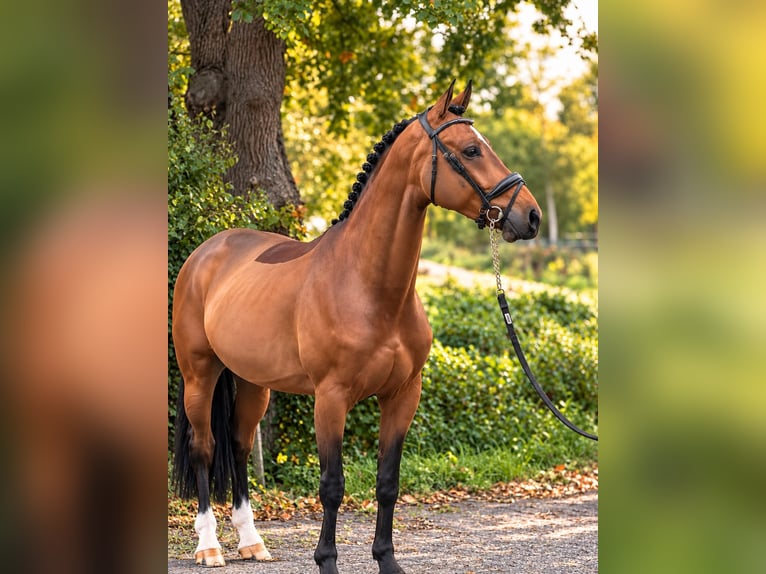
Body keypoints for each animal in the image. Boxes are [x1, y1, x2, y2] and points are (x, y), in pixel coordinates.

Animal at [171, 81, 541, 574]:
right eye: (470, 149)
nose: (531, 216)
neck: (370, 288)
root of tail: (206, 252)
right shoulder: (331, 399)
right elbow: (332, 485)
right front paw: (326, 560)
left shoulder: (403, 395)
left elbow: (388, 482)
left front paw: (387, 560)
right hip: (200, 374)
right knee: (205, 448)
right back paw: (209, 546)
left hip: (253, 383)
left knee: (238, 444)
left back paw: (251, 542)